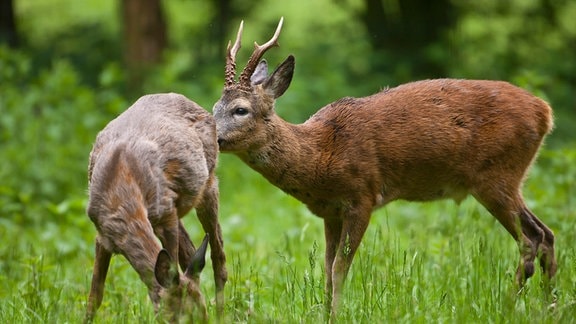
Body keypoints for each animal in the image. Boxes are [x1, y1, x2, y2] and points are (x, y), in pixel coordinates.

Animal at [85, 93, 227, 322]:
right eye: (181, 318)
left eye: (203, 315)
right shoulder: (102, 236)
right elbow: (94, 297)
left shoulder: (166, 218)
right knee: (192, 254)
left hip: (208, 185)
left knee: (218, 256)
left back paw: (223, 314)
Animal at [213, 18, 560, 316]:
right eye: (214, 107)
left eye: (240, 110)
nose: (212, 136)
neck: (321, 156)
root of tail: (545, 111)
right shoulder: (330, 211)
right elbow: (326, 267)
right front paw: (325, 313)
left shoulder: (361, 196)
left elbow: (339, 268)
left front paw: (336, 315)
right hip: (507, 179)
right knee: (546, 234)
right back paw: (549, 306)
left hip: (497, 176)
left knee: (530, 239)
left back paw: (510, 305)